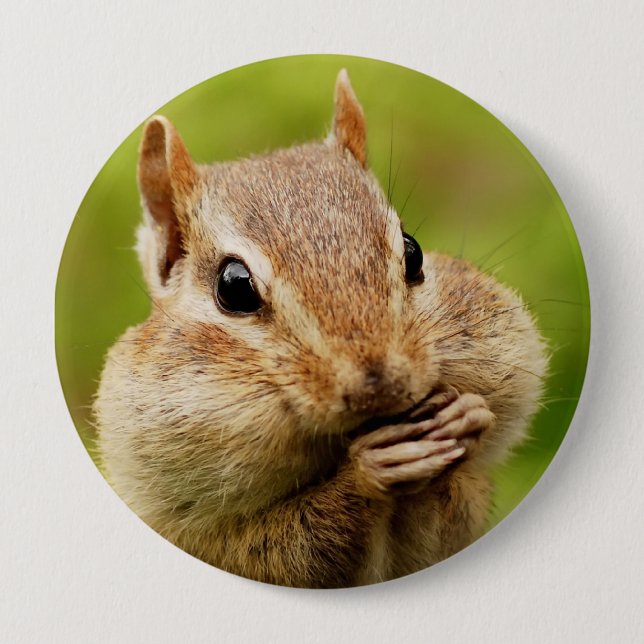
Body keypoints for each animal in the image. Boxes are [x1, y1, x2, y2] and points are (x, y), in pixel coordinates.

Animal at [94, 69, 548, 588]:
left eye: (413, 251)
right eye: (234, 286)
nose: (382, 387)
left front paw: (466, 416)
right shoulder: (228, 547)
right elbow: (301, 546)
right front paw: (368, 470)